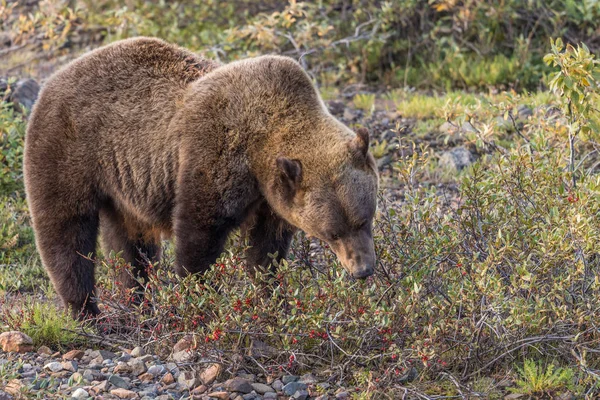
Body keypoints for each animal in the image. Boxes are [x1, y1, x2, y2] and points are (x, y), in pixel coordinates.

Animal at [25, 37, 380, 318]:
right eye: (333, 233)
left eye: (364, 219)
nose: (363, 269)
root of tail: (54, 78)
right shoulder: (214, 154)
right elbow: (199, 235)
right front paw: (201, 298)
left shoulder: (272, 198)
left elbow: (266, 250)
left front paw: (271, 299)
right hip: (68, 150)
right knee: (66, 233)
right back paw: (85, 309)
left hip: (122, 184)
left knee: (132, 245)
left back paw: (139, 299)